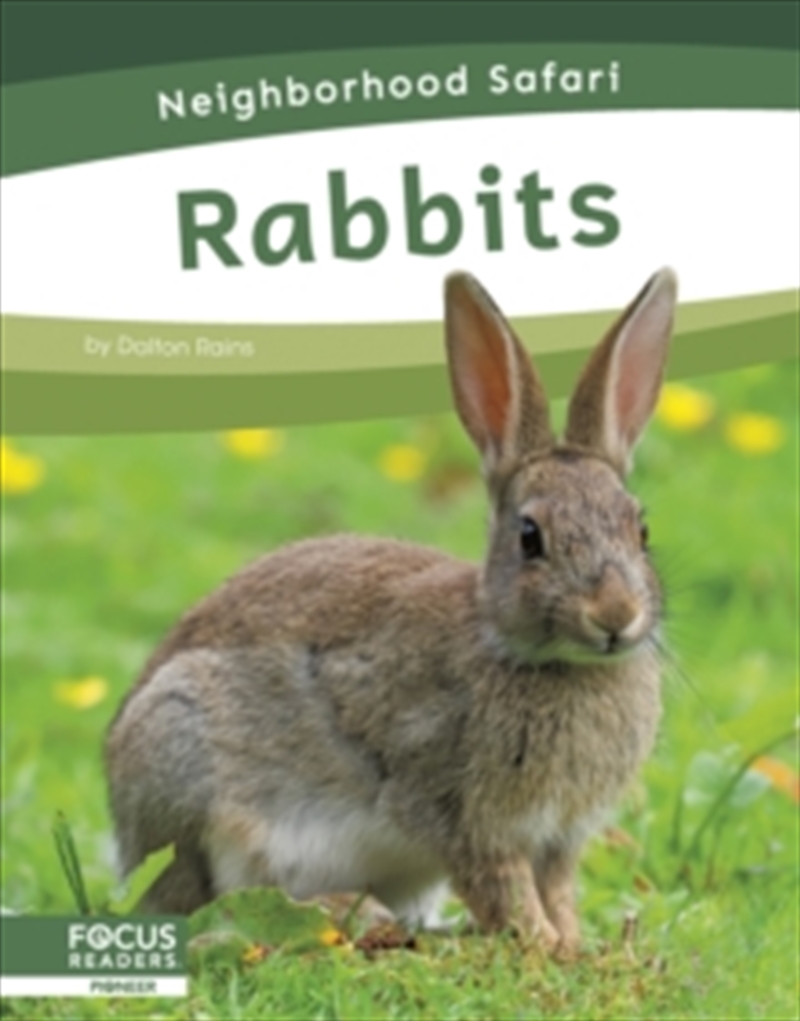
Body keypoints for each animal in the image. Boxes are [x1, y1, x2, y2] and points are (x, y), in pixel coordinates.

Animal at [105, 267, 677, 953]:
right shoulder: (464, 817)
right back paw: (357, 915)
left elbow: (558, 891)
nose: (615, 615)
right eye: (530, 537)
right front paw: (545, 947)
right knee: (219, 895)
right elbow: (507, 892)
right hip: (184, 757)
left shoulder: (559, 838)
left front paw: (577, 947)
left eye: (640, 531)